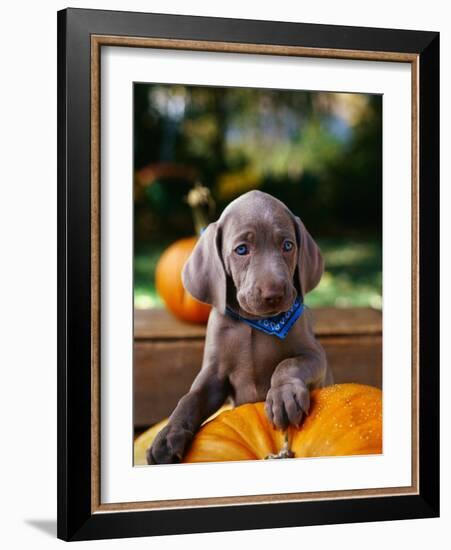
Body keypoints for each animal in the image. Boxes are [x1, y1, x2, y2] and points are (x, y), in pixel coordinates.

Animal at [147, 191, 332, 466]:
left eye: (288, 246)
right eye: (241, 250)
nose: (274, 294)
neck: (256, 324)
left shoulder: (315, 356)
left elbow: (288, 364)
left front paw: (283, 396)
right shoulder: (213, 375)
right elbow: (190, 399)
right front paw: (167, 436)